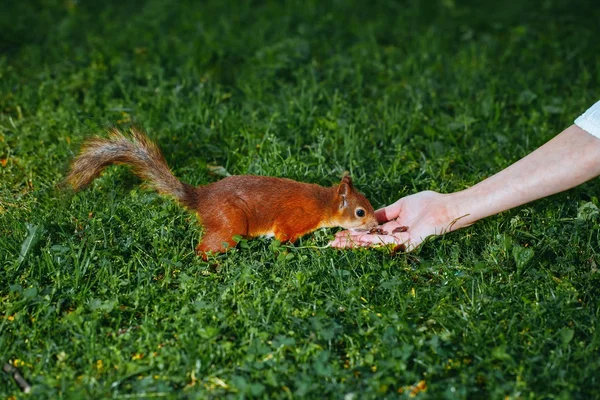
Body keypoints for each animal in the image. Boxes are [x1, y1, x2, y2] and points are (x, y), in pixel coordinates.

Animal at [64, 128, 376, 260]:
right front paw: (288, 252)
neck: (323, 203)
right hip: (230, 224)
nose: (375, 225)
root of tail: (201, 199)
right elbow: (282, 238)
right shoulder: (292, 221)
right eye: (360, 211)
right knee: (204, 249)